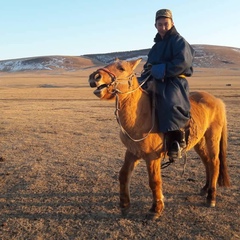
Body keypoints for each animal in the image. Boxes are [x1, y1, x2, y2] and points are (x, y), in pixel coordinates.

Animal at [88, 58, 231, 219]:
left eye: (121, 68)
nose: (95, 77)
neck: (142, 115)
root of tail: (217, 100)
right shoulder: (132, 152)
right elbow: (123, 175)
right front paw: (124, 205)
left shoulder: (152, 157)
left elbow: (154, 181)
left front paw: (156, 209)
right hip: (198, 141)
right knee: (207, 162)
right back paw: (205, 189)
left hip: (212, 137)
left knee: (214, 162)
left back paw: (211, 197)